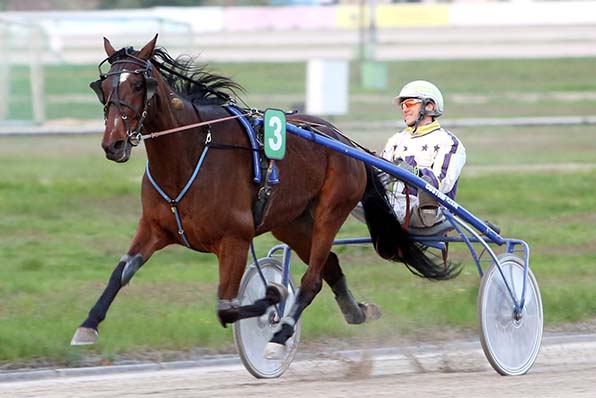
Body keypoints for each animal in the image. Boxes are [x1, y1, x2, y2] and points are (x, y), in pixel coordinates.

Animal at [71, 35, 460, 358]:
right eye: (103, 86)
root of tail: (342, 140)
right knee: (331, 265)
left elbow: (226, 307)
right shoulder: (154, 227)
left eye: (139, 83)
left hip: (331, 210)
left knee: (312, 279)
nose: (113, 143)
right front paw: (87, 325)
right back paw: (356, 311)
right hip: (291, 222)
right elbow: (120, 272)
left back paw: (281, 333)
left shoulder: (235, 239)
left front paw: (273, 297)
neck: (190, 153)